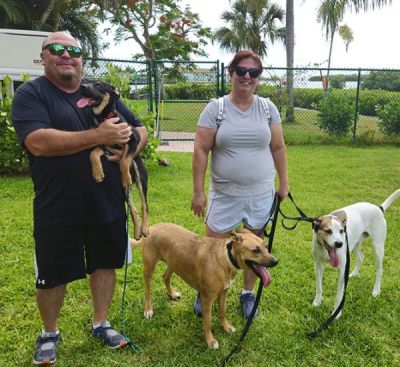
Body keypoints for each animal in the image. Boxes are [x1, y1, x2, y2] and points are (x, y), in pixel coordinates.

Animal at [77, 81, 148, 240]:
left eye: (98, 84)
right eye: (85, 80)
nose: (82, 86)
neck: (103, 118)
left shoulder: (133, 138)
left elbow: (124, 160)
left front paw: (125, 176)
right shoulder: (104, 145)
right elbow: (93, 153)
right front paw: (98, 173)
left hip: (141, 179)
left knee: (144, 205)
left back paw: (145, 228)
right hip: (124, 192)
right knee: (133, 208)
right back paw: (137, 231)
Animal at [140, 223, 278, 350]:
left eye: (266, 247)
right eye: (255, 250)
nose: (276, 261)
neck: (226, 258)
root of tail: (152, 227)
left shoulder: (224, 293)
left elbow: (222, 312)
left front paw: (226, 327)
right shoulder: (207, 300)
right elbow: (208, 322)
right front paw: (210, 341)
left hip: (173, 263)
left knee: (165, 277)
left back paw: (172, 293)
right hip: (149, 266)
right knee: (147, 290)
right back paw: (148, 309)